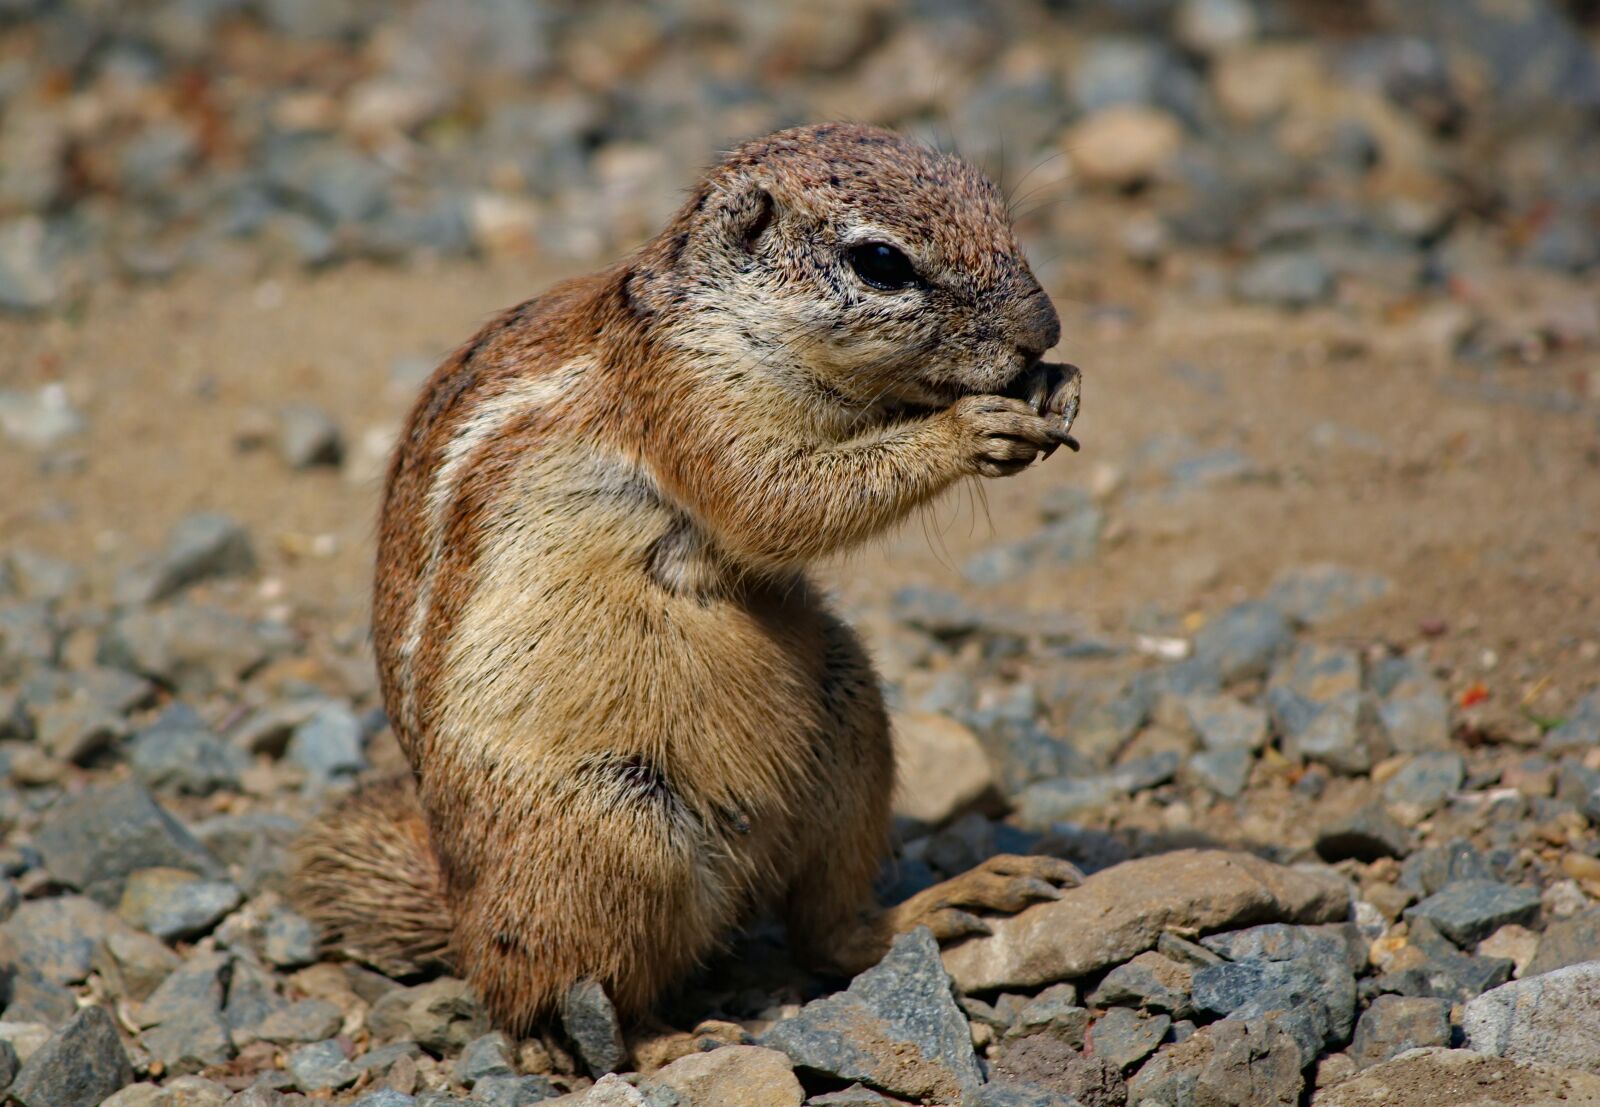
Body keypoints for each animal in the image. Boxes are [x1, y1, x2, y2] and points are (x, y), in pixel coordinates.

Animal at [293, 122, 1084, 1037]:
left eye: (997, 206)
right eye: (881, 263)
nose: (1045, 328)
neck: (728, 316)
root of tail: (459, 901)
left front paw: (1054, 388)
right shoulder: (690, 404)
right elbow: (778, 501)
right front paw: (969, 429)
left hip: (851, 725)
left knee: (827, 934)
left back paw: (949, 900)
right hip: (609, 835)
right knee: (555, 995)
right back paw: (662, 1043)